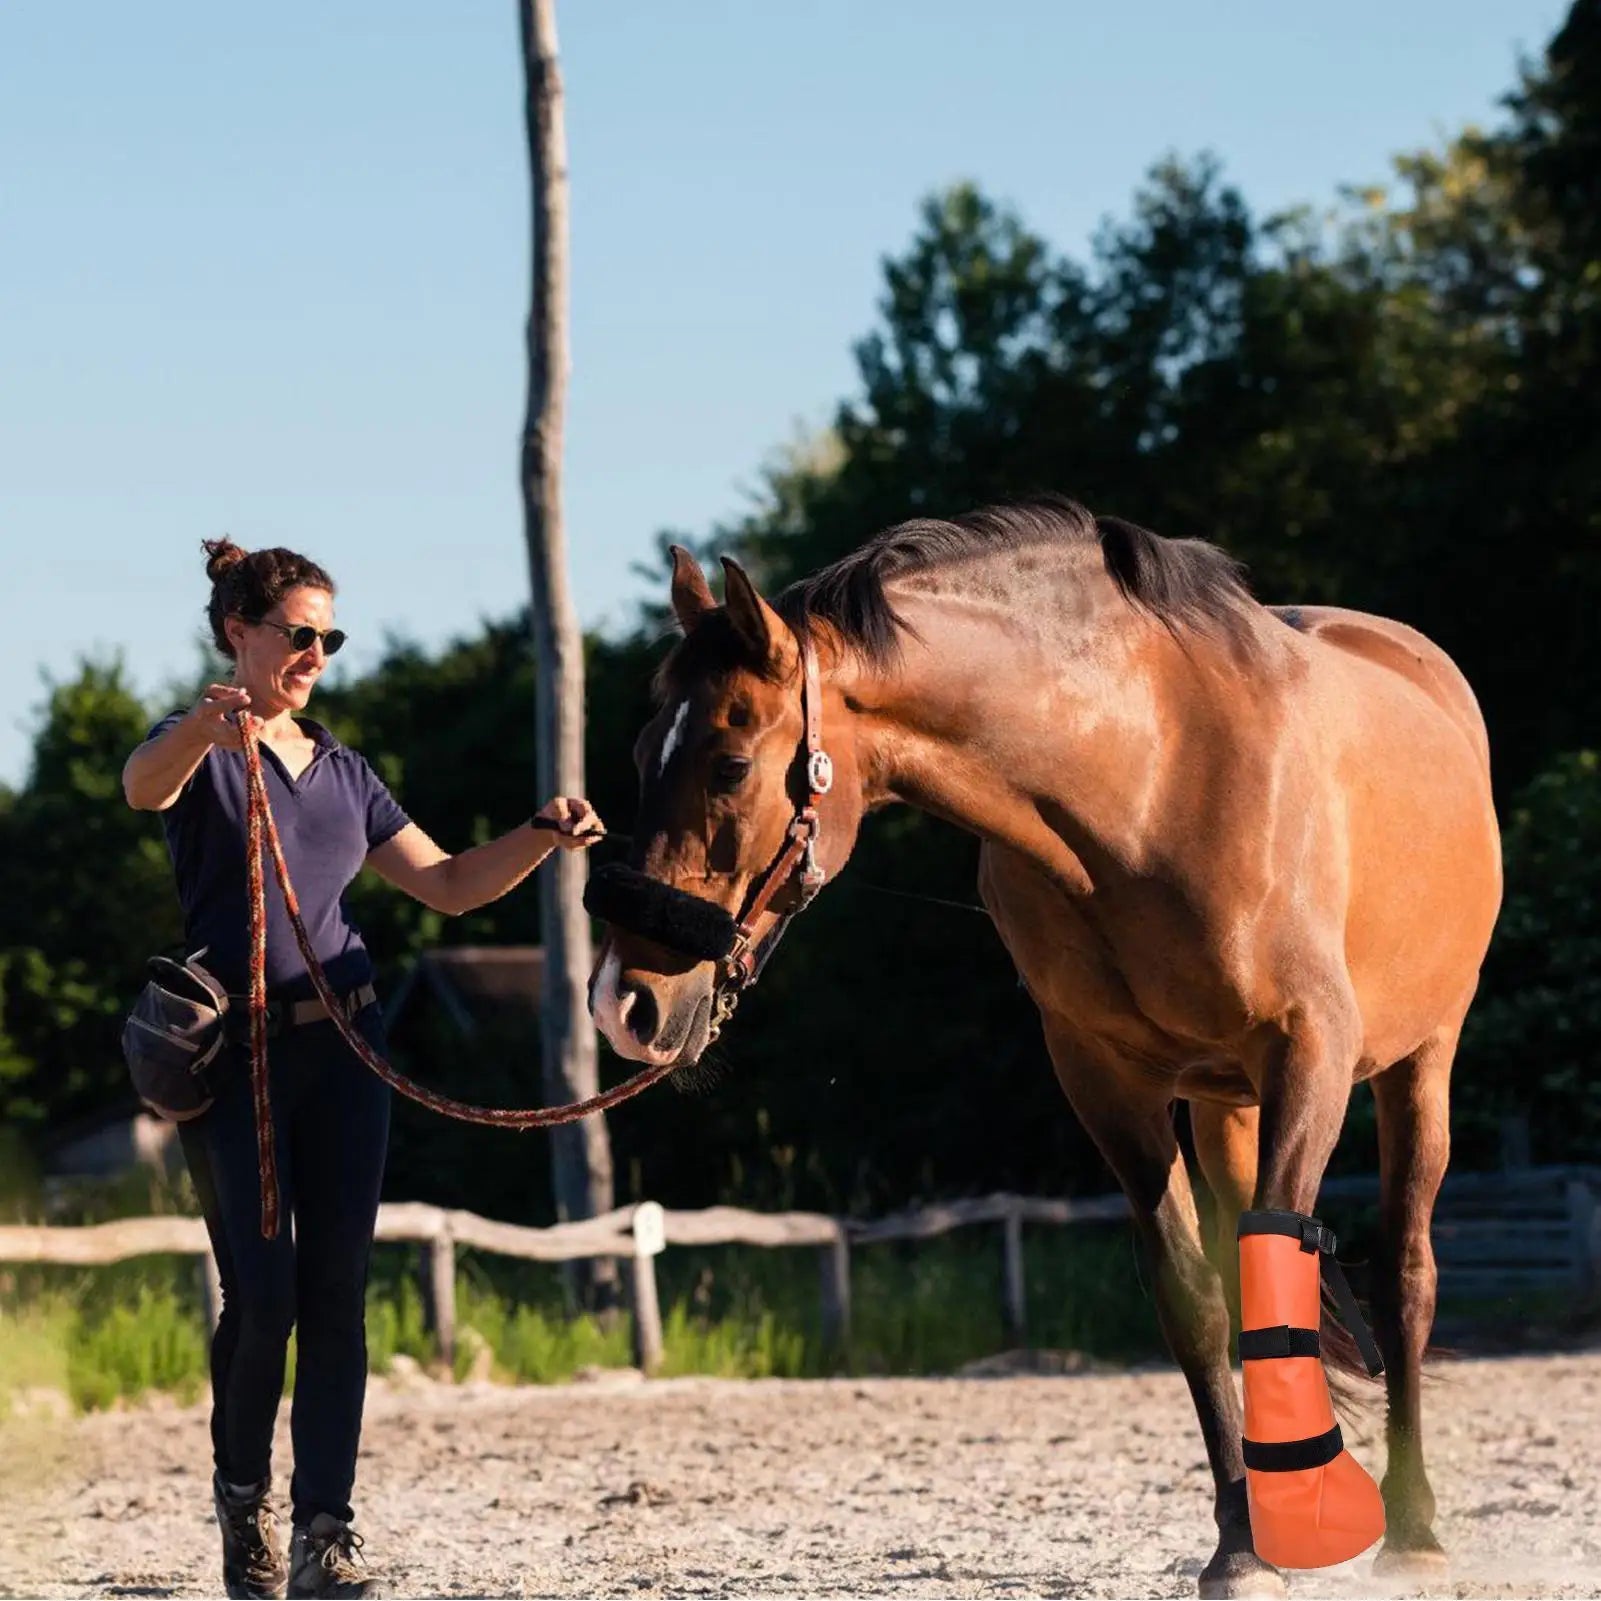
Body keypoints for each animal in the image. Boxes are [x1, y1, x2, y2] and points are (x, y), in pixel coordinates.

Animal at [583, 497, 1502, 1597]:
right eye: (644, 753)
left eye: (726, 763)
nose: (623, 1001)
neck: (1147, 784)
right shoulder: (1106, 1081)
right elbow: (1198, 1299)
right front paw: (1241, 1540)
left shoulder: (1310, 1052)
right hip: (1225, 1102)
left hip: (1420, 1063)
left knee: (1404, 1275)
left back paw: (1413, 1525)